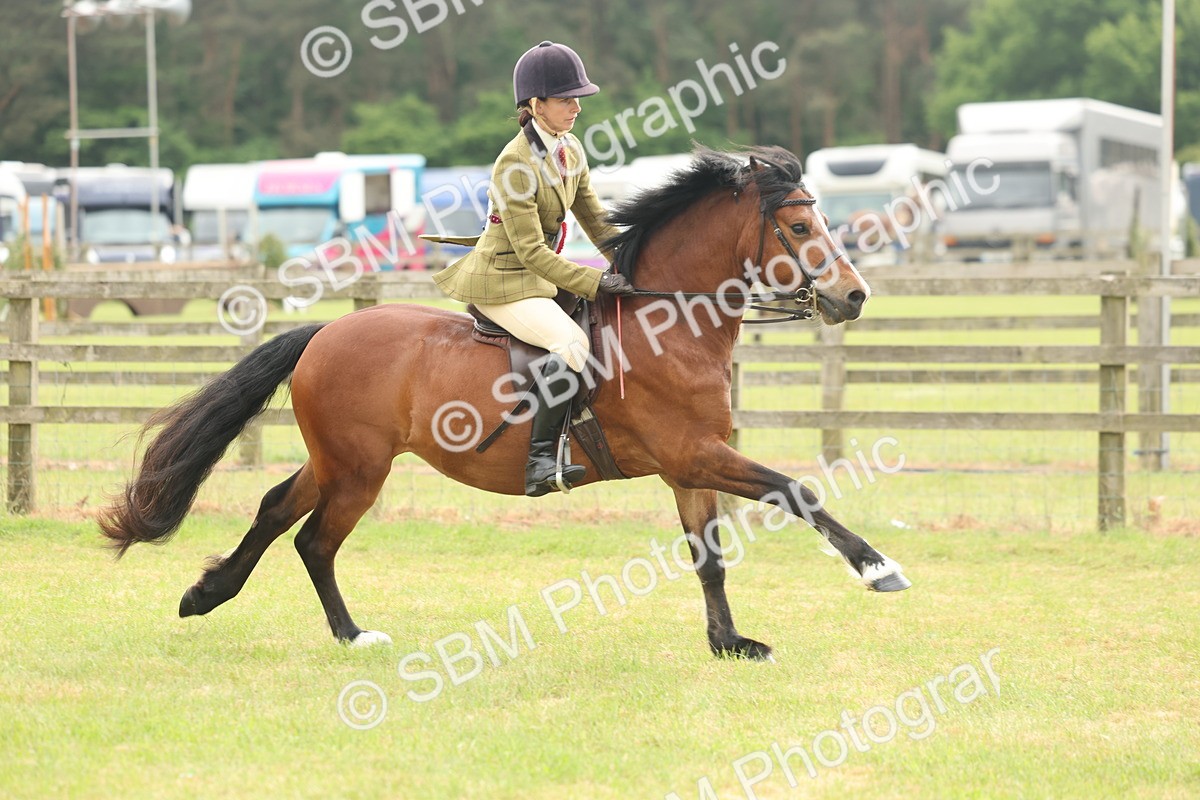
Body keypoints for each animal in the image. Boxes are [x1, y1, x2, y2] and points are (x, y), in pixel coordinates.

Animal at [100, 145, 909, 660]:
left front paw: (729, 643)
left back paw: (209, 596)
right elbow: (796, 490)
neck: (668, 322)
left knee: (276, 511)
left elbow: (708, 557)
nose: (855, 296)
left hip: (338, 460)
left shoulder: (688, 467)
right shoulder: (694, 453)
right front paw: (877, 569)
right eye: (800, 227)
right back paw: (346, 633)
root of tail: (326, 331)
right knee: (315, 541)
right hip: (358, 469)